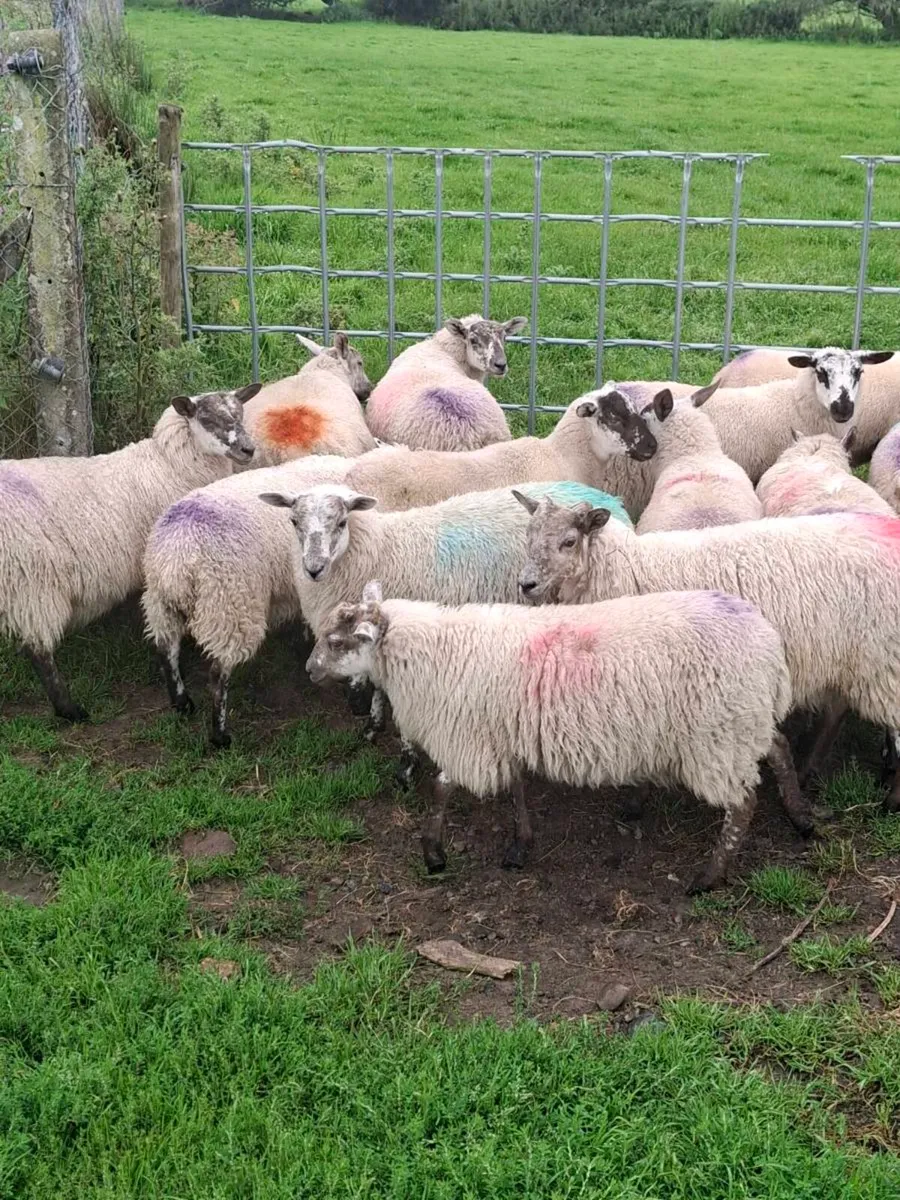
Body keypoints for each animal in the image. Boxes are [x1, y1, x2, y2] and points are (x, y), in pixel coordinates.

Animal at [1, 384, 260, 722]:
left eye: (239, 413)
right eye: (206, 418)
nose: (248, 450)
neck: (169, 464)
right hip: (32, 585)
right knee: (38, 650)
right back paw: (70, 710)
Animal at [142, 452, 353, 748]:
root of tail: (176, 559)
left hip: (162, 605)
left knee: (166, 650)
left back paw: (182, 703)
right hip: (229, 605)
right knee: (217, 674)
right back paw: (220, 736)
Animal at [306, 580, 793, 893]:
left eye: (336, 642)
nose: (309, 671)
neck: (435, 650)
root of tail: (769, 641)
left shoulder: (469, 738)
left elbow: (442, 789)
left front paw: (433, 853)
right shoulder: (504, 734)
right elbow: (518, 788)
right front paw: (520, 845)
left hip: (718, 736)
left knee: (743, 804)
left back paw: (709, 876)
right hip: (743, 721)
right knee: (780, 748)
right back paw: (801, 815)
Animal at [515, 496, 900, 813]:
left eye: (569, 541)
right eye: (528, 537)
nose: (525, 584)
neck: (628, 570)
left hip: (883, 658)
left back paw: (889, 797)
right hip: (854, 656)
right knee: (838, 709)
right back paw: (810, 770)